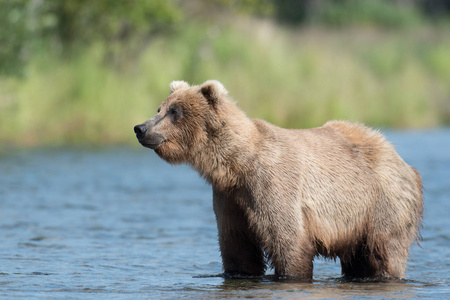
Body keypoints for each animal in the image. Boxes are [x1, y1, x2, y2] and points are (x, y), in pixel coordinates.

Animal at [134, 79, 422, 278]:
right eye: (159, 107)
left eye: (175, 111)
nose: (140, 128)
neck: (236, 165)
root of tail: (400, 157)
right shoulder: (229, 198)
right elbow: (237, 247)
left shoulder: (273, 185)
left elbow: (288, 239)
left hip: (381, 204)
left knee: (383, 253)